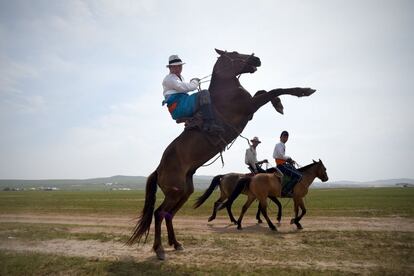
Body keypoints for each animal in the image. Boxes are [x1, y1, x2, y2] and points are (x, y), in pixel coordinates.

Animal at [125, 48, 314, 260]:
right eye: (235, 53)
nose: (257, 59)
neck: (225, 91)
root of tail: (158, 169)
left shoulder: (251, 105)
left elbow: (265, 91)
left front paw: (278, 104)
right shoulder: (249, 106)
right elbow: (274, 90)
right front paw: (303, 91)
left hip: (183, 193)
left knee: (168, 214)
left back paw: (176, 243)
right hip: (174, 192)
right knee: (159, 213)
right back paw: (160, 249)